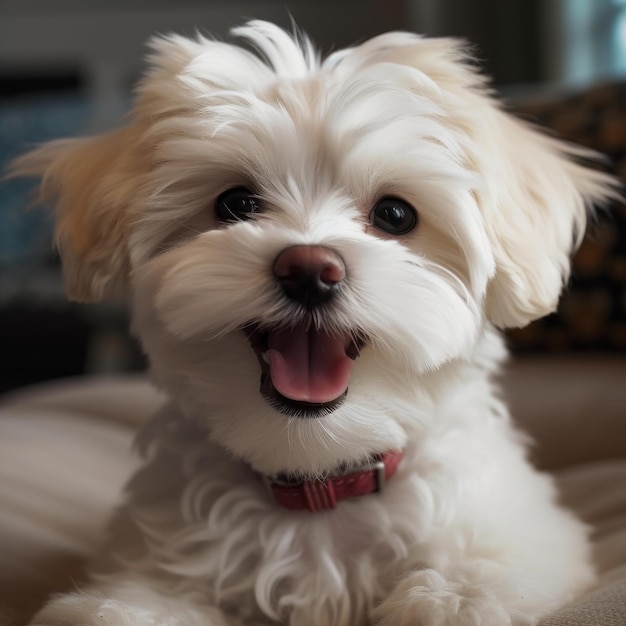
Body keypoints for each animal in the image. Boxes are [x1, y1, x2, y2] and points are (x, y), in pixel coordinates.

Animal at [12, 19, 616, 624]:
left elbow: (483, 580)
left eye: (395, 214)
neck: (319, 475)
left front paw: (447, 599)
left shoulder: (519, 534)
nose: (308, 270)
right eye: (235, 204)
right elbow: (126, 605)